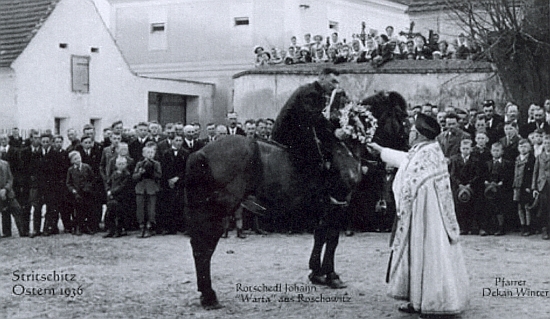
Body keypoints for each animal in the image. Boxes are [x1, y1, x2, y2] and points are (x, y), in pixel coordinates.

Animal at [185, 90, 410, 310]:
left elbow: (320, 235)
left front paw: (316, 273)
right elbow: (332, 238)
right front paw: (331, 275)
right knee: (204, 248)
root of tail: (202, 152)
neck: (345, 147)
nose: (407, 148)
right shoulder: (339, 203)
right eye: (401, 115)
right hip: (219, 211)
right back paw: (209, 295)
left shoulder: (325, 205)